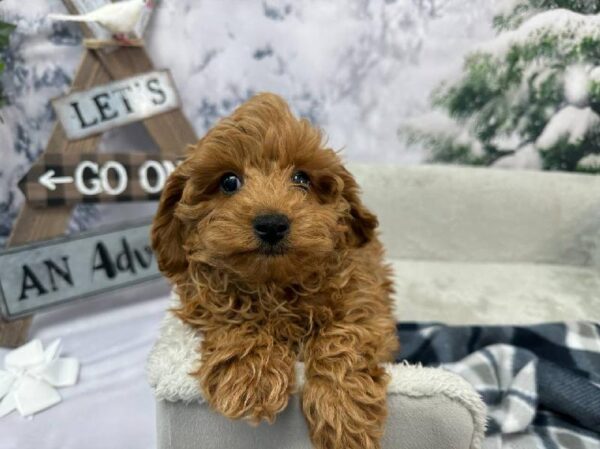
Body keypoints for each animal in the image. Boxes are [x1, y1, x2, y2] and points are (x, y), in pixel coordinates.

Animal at [151, 93, 398, 448]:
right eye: (229, 181)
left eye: (301, 178)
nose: (271, 223)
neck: (274, 285)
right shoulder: (204, 296)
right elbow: (232, 317)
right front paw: (250, 378)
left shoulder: (364, 300)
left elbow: (344, 335)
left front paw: (343, 414)